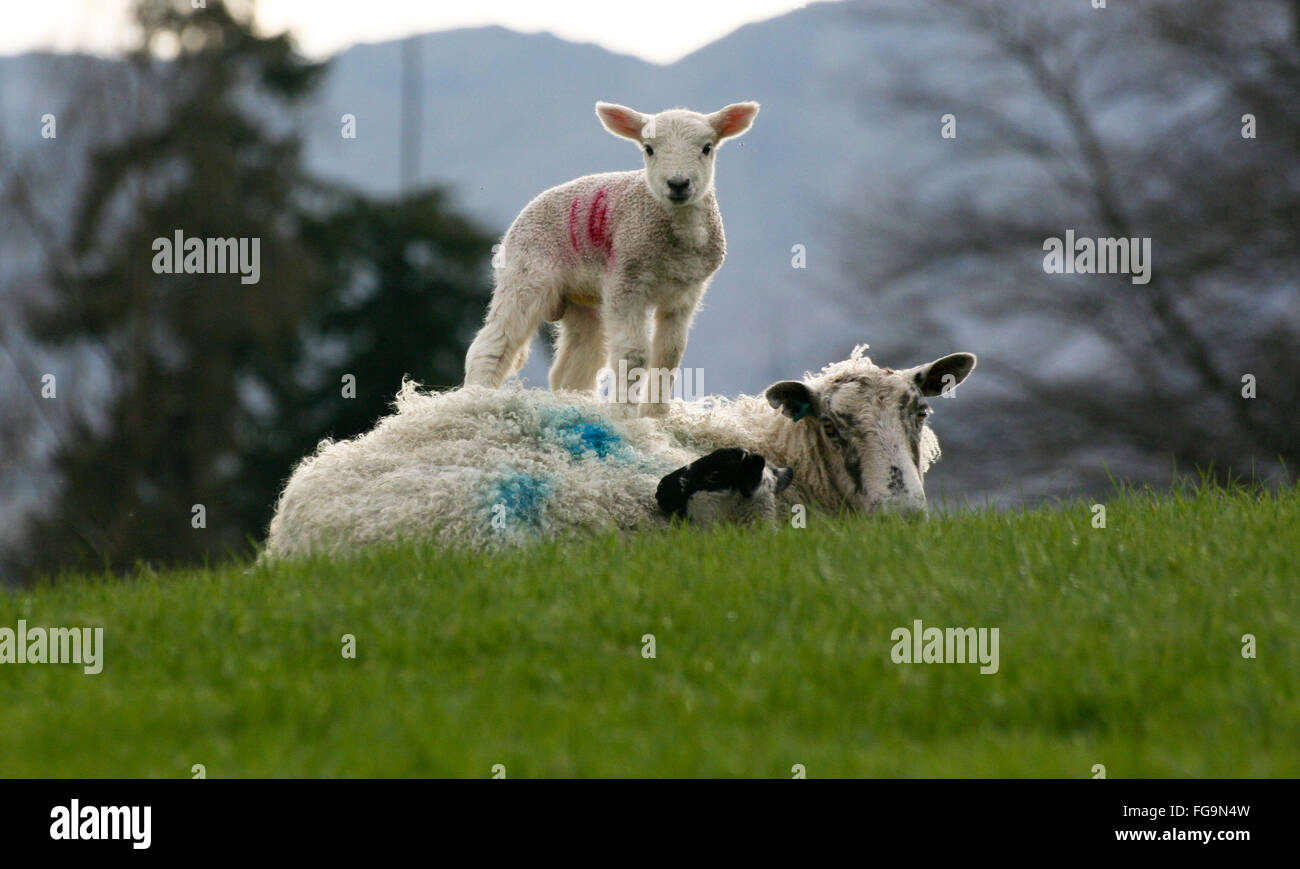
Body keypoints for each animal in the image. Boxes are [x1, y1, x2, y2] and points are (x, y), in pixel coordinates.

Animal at [460, 102, 759, 413]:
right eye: (648, 149)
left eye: (707, 147)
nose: (678, 183)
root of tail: (525, 212)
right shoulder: (626, 279)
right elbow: (634, 354)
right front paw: (624, 414)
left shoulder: (686, 292)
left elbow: (670, 353)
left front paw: (655, 414)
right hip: (526, 271)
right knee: (495, 342)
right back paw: (476, 396)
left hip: (583, 301)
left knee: (577, 359)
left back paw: (574, 402)